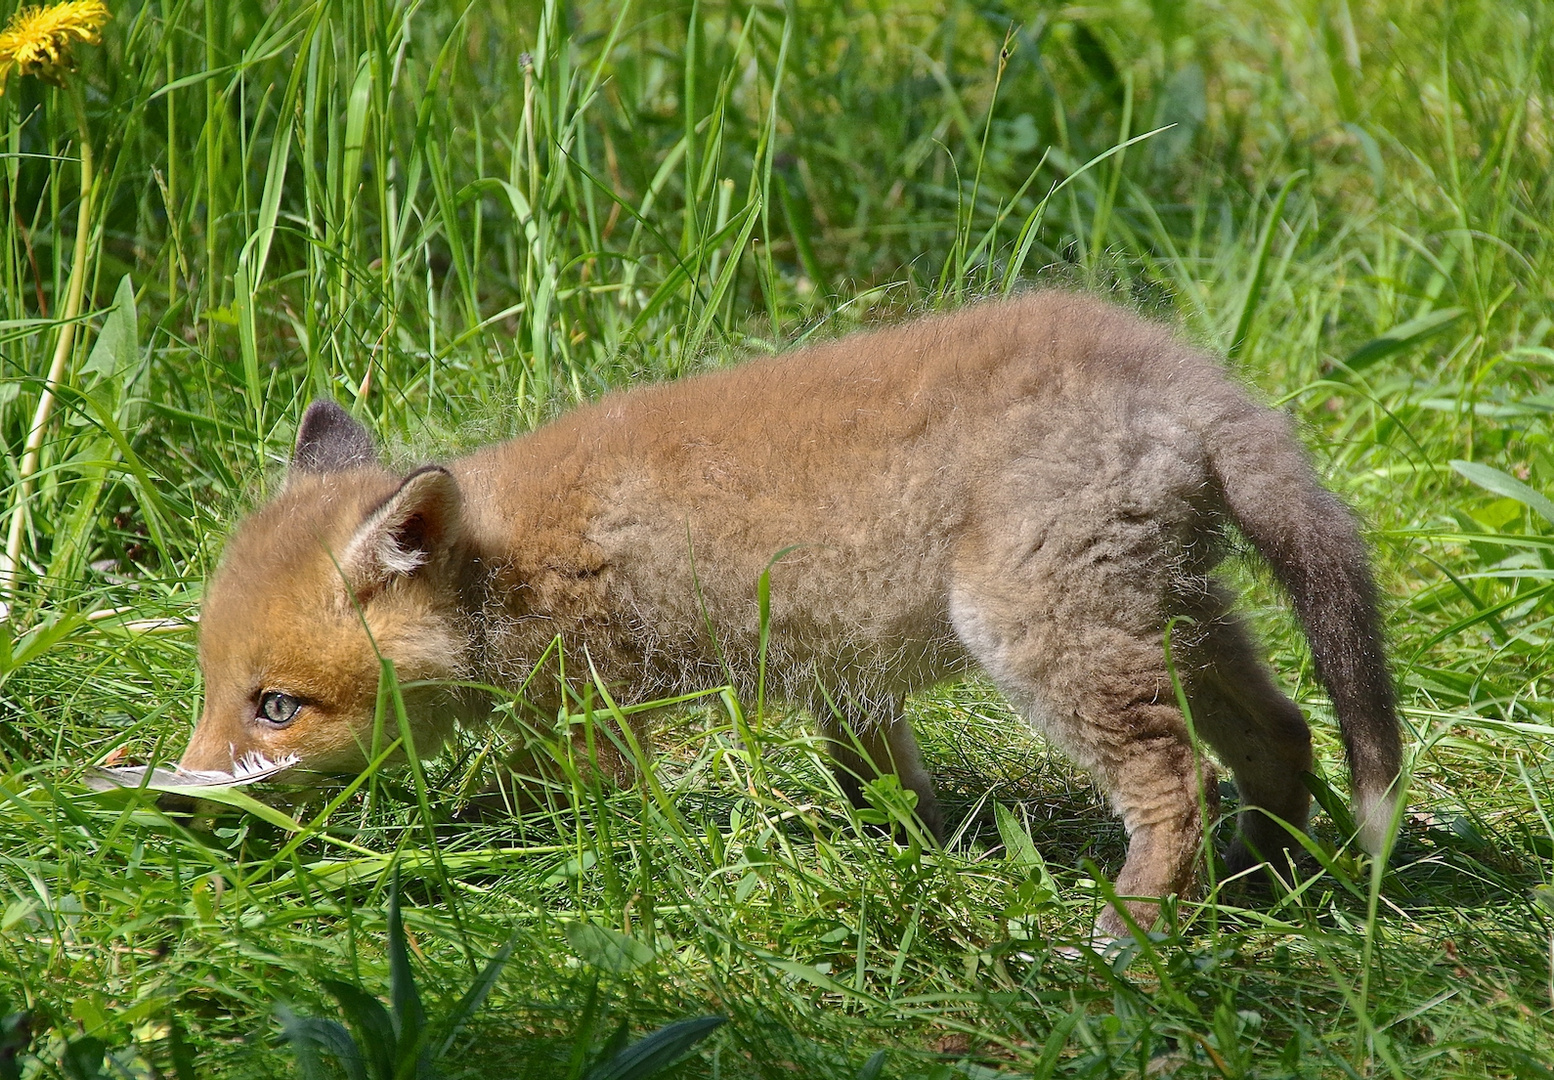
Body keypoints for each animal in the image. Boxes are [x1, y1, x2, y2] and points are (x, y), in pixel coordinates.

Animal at [181, 289, 1411, 938]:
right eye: (213, 691)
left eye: (278, 706)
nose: (185, 799)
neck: (502, 559)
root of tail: (1180, 372)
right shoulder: (845, 682)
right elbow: (886, 786)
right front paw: (911, 861)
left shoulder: (591, 708)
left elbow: (577, 809)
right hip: (1172, 613)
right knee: (1282, 734)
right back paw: (1266, 885)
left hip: (1046, 631)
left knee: (1178, 774)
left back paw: (1137, 930)